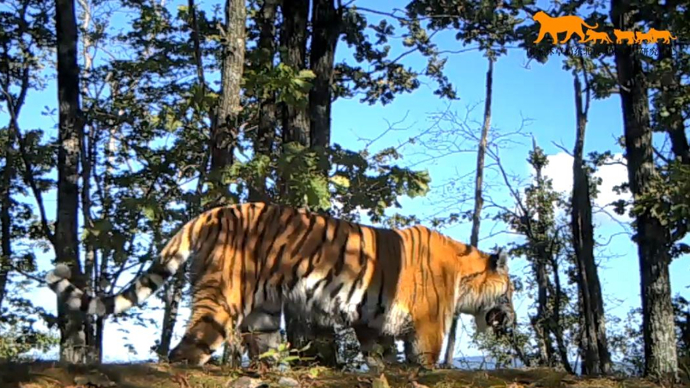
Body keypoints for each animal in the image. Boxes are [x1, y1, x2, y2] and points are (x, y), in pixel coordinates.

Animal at [45, 202, 512, 368]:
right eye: (511, 291)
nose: (512, 317)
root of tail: (212, 211)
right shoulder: (430, 323)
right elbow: (425, 359)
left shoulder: (371, 318)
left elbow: (381, 357)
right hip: (223, 299)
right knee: (185, 351)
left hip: (264, 313)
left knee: (264, 352)